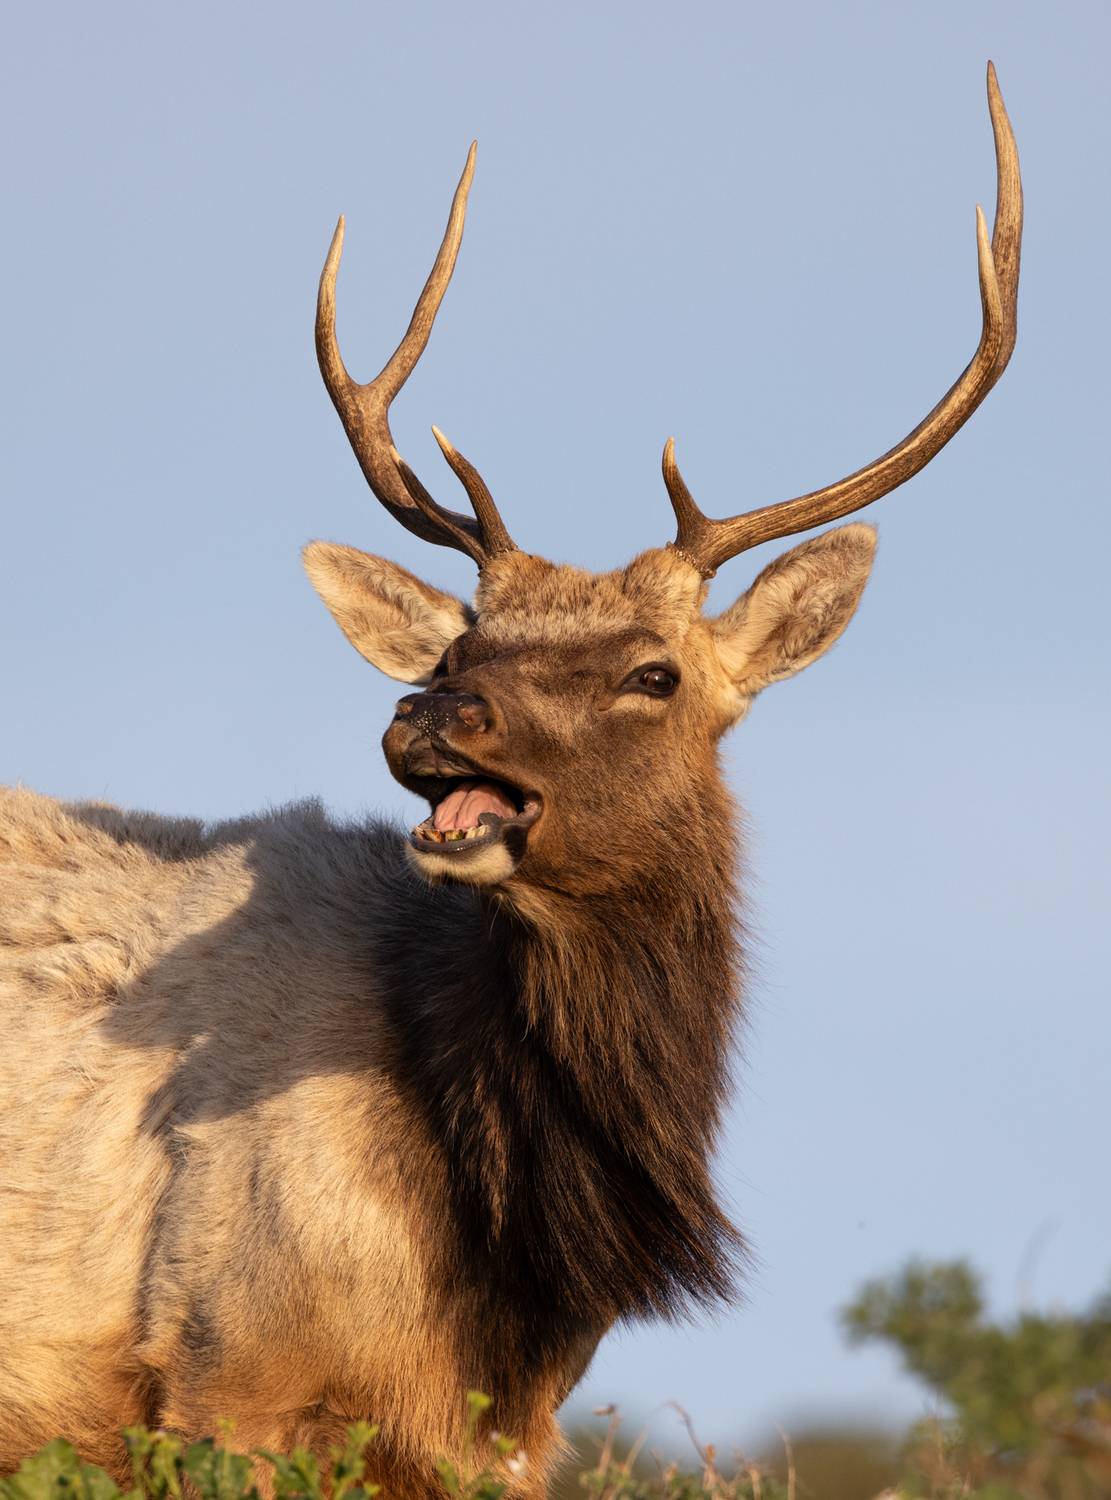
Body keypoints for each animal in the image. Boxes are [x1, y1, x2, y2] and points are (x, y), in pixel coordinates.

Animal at [0, 63, 1020, 1498]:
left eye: (653, 672)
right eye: (458, 645)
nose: (427, 710)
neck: (507, 1265)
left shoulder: (499, 1442)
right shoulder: (221, 1378)